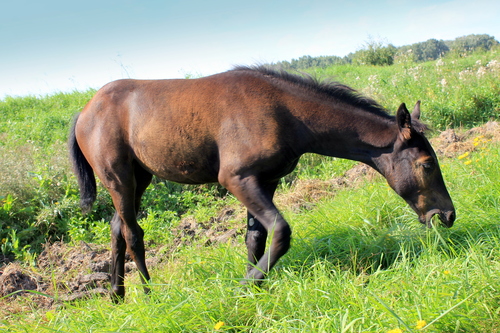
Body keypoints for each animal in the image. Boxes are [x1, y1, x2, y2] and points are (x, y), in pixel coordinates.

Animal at [68, 65, 456, 300]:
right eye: (426, 164)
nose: (448, 215)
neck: (285, 112)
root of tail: (84, 110)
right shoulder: (237, 178)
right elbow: (281, 231)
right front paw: (245, 285)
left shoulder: (266, 181)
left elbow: (255, 237)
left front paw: (256, 283)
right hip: (119, 177)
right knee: (133, 232)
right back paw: (149, 293)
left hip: (140, 177)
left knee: (117, 228)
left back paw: (117, 295)